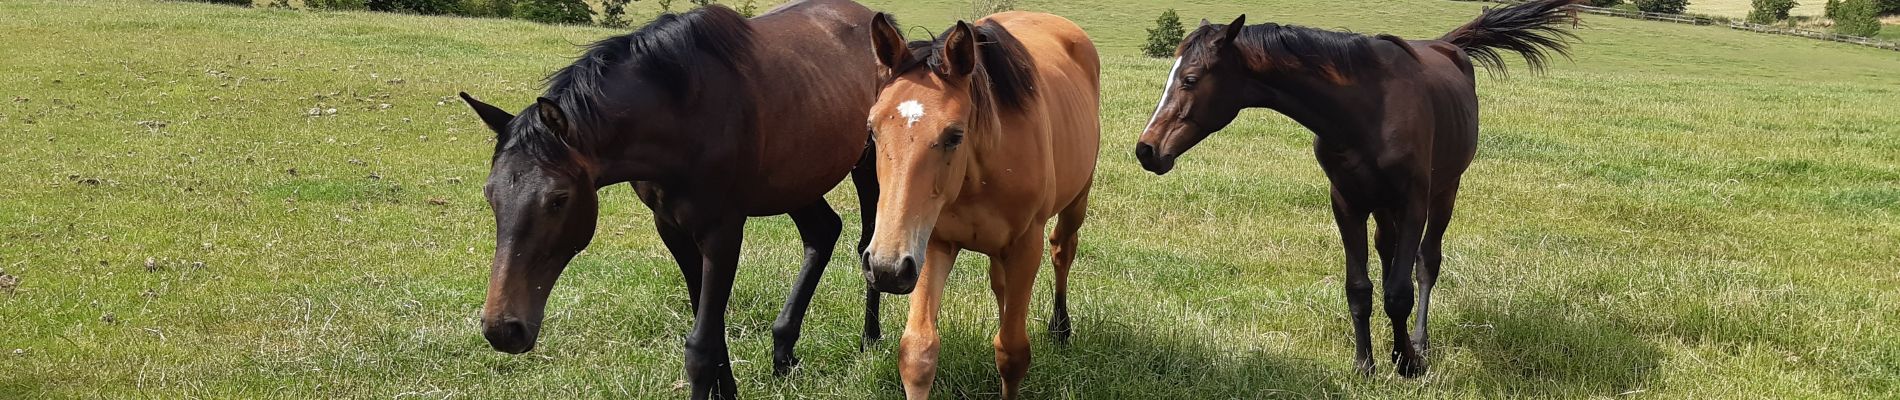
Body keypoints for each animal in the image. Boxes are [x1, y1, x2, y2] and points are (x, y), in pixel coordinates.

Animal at [459, 2, 881, 396]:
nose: (502, 329)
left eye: (558, 199)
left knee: (866, 244)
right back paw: (783, 352)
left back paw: (870, 340)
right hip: (797, 181)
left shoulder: (722, 233)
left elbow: (700, 348)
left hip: (867, 168)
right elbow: (714, 335)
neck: (682, 113)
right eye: (490, 194)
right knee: (822, 232)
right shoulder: (671, 228)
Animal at [862, 10, 1102, 398]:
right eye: (872, 128)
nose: (885, 267)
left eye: (954, 135)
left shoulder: (1025, 246)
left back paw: (1061, 329)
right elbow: (918, 352)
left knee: (1062, 251)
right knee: (1001, 284)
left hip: (1077, 201)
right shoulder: (933, 243)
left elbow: (1012, 353)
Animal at [1132, 0, 1580, 377]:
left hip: (1445, 191)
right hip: (1381, 207)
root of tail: (1450, 47)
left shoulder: (1414, 201)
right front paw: (1366, 364)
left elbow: (1400, 290)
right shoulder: (1346, 202)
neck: (1367, 110)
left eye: (1190, 79)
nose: (1147, 149)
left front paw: (1408, 362)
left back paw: (1419, 342)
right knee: (1388, 254)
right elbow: (1360, 288)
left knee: (1426, 263)